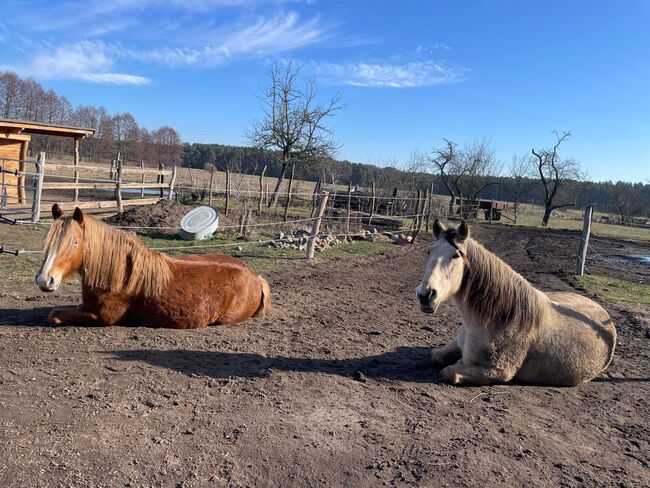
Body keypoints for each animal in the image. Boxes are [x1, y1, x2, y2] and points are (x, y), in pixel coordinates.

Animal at [36, 204, 268, 330]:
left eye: (74, 242)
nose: (44, 280)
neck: (120, 275)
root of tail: (256, 278)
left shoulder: (100, 317)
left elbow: (53, 314)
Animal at [412, 220, 616, 386]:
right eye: (430, 251)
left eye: (455, 255)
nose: (425, 294)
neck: (494, 318)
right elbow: (435, 356)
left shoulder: (498, 372)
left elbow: (449, 372)